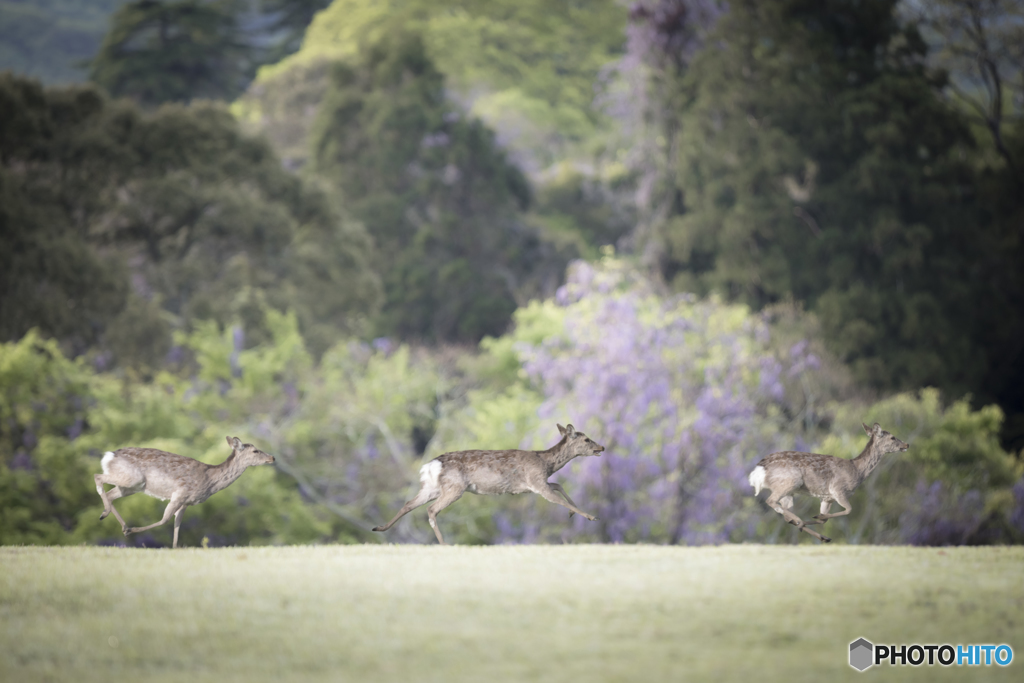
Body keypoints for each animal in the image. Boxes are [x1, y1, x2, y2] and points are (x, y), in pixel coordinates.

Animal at [92, 438, 274, 548]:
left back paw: (116, 521)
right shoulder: (181, 492)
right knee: (97, 476)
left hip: (132, 486)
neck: (209, 481)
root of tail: (109, 456)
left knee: (110, 494)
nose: (272, 458)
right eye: (255, 451)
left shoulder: (187, 502)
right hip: (131, 478)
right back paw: (109, 517)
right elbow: (165, 520)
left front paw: (175, 548)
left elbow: (177, 524)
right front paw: (131, 531)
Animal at [372, 421, 602, 544]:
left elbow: (559, 485)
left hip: (431, 487)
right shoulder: (535, 481)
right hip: (455, 487)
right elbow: (557, 499)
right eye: (586, 439)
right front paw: (591, 516)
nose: (602, 447)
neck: (545, 462)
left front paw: (573, 513)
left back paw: (379, 528)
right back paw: (444, 543)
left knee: (409, 504)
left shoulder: (533, 485)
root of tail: (431, 466)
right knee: (431, 510)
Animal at [749, 423, 909, 540]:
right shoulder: (838, 490)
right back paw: (801, 523)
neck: (857, 471)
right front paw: (816, 517)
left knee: (785, 513)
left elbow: (824, 520)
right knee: (771, 501)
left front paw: (819, 517)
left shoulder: (827, 498)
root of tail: (758, 471)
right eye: (892, 437)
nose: (907, 445)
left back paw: (820, 535)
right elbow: (849, 510)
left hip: (788, 492)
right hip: (790, 482)